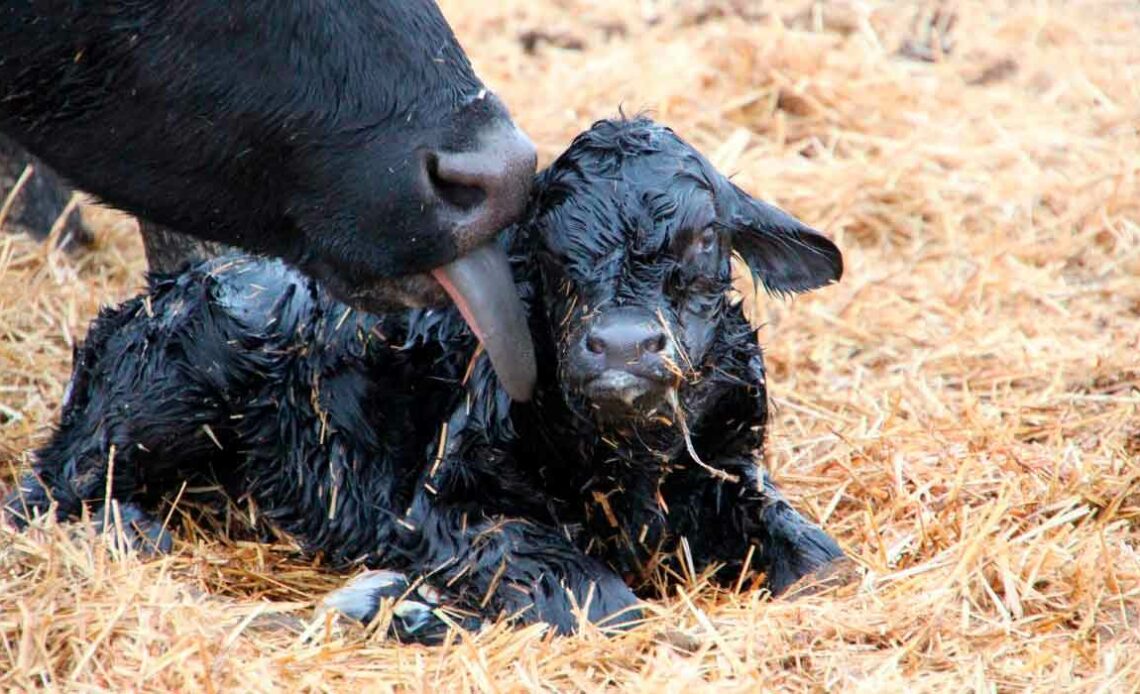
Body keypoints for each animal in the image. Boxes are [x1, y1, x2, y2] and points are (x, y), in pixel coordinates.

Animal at [2, 116, 848, 642]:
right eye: (547, 245)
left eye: (705, 238)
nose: (623, 346)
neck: (630, 464)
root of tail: (172, 286)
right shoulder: (444, 503)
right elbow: (604, 603)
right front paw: (401, 604)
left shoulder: (735, 470)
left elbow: (827, 567)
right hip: (156, 402)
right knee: (45, 493)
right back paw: (135, 529)